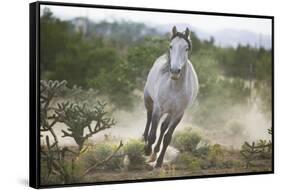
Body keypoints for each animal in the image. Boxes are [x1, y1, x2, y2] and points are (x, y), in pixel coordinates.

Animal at [142, 25, 199, 168]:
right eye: (171, 46)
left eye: (186, 48)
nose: (174, 71)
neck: (174, 87)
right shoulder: (158, 108)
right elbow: (152, 134)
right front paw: (147, 150)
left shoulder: (178, 113)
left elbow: (167, 137)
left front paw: (159, 162)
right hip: (149, 100)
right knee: (149, 118)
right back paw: (145, 141)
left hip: (170, 113)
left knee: (163, 127)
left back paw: (155, 153)